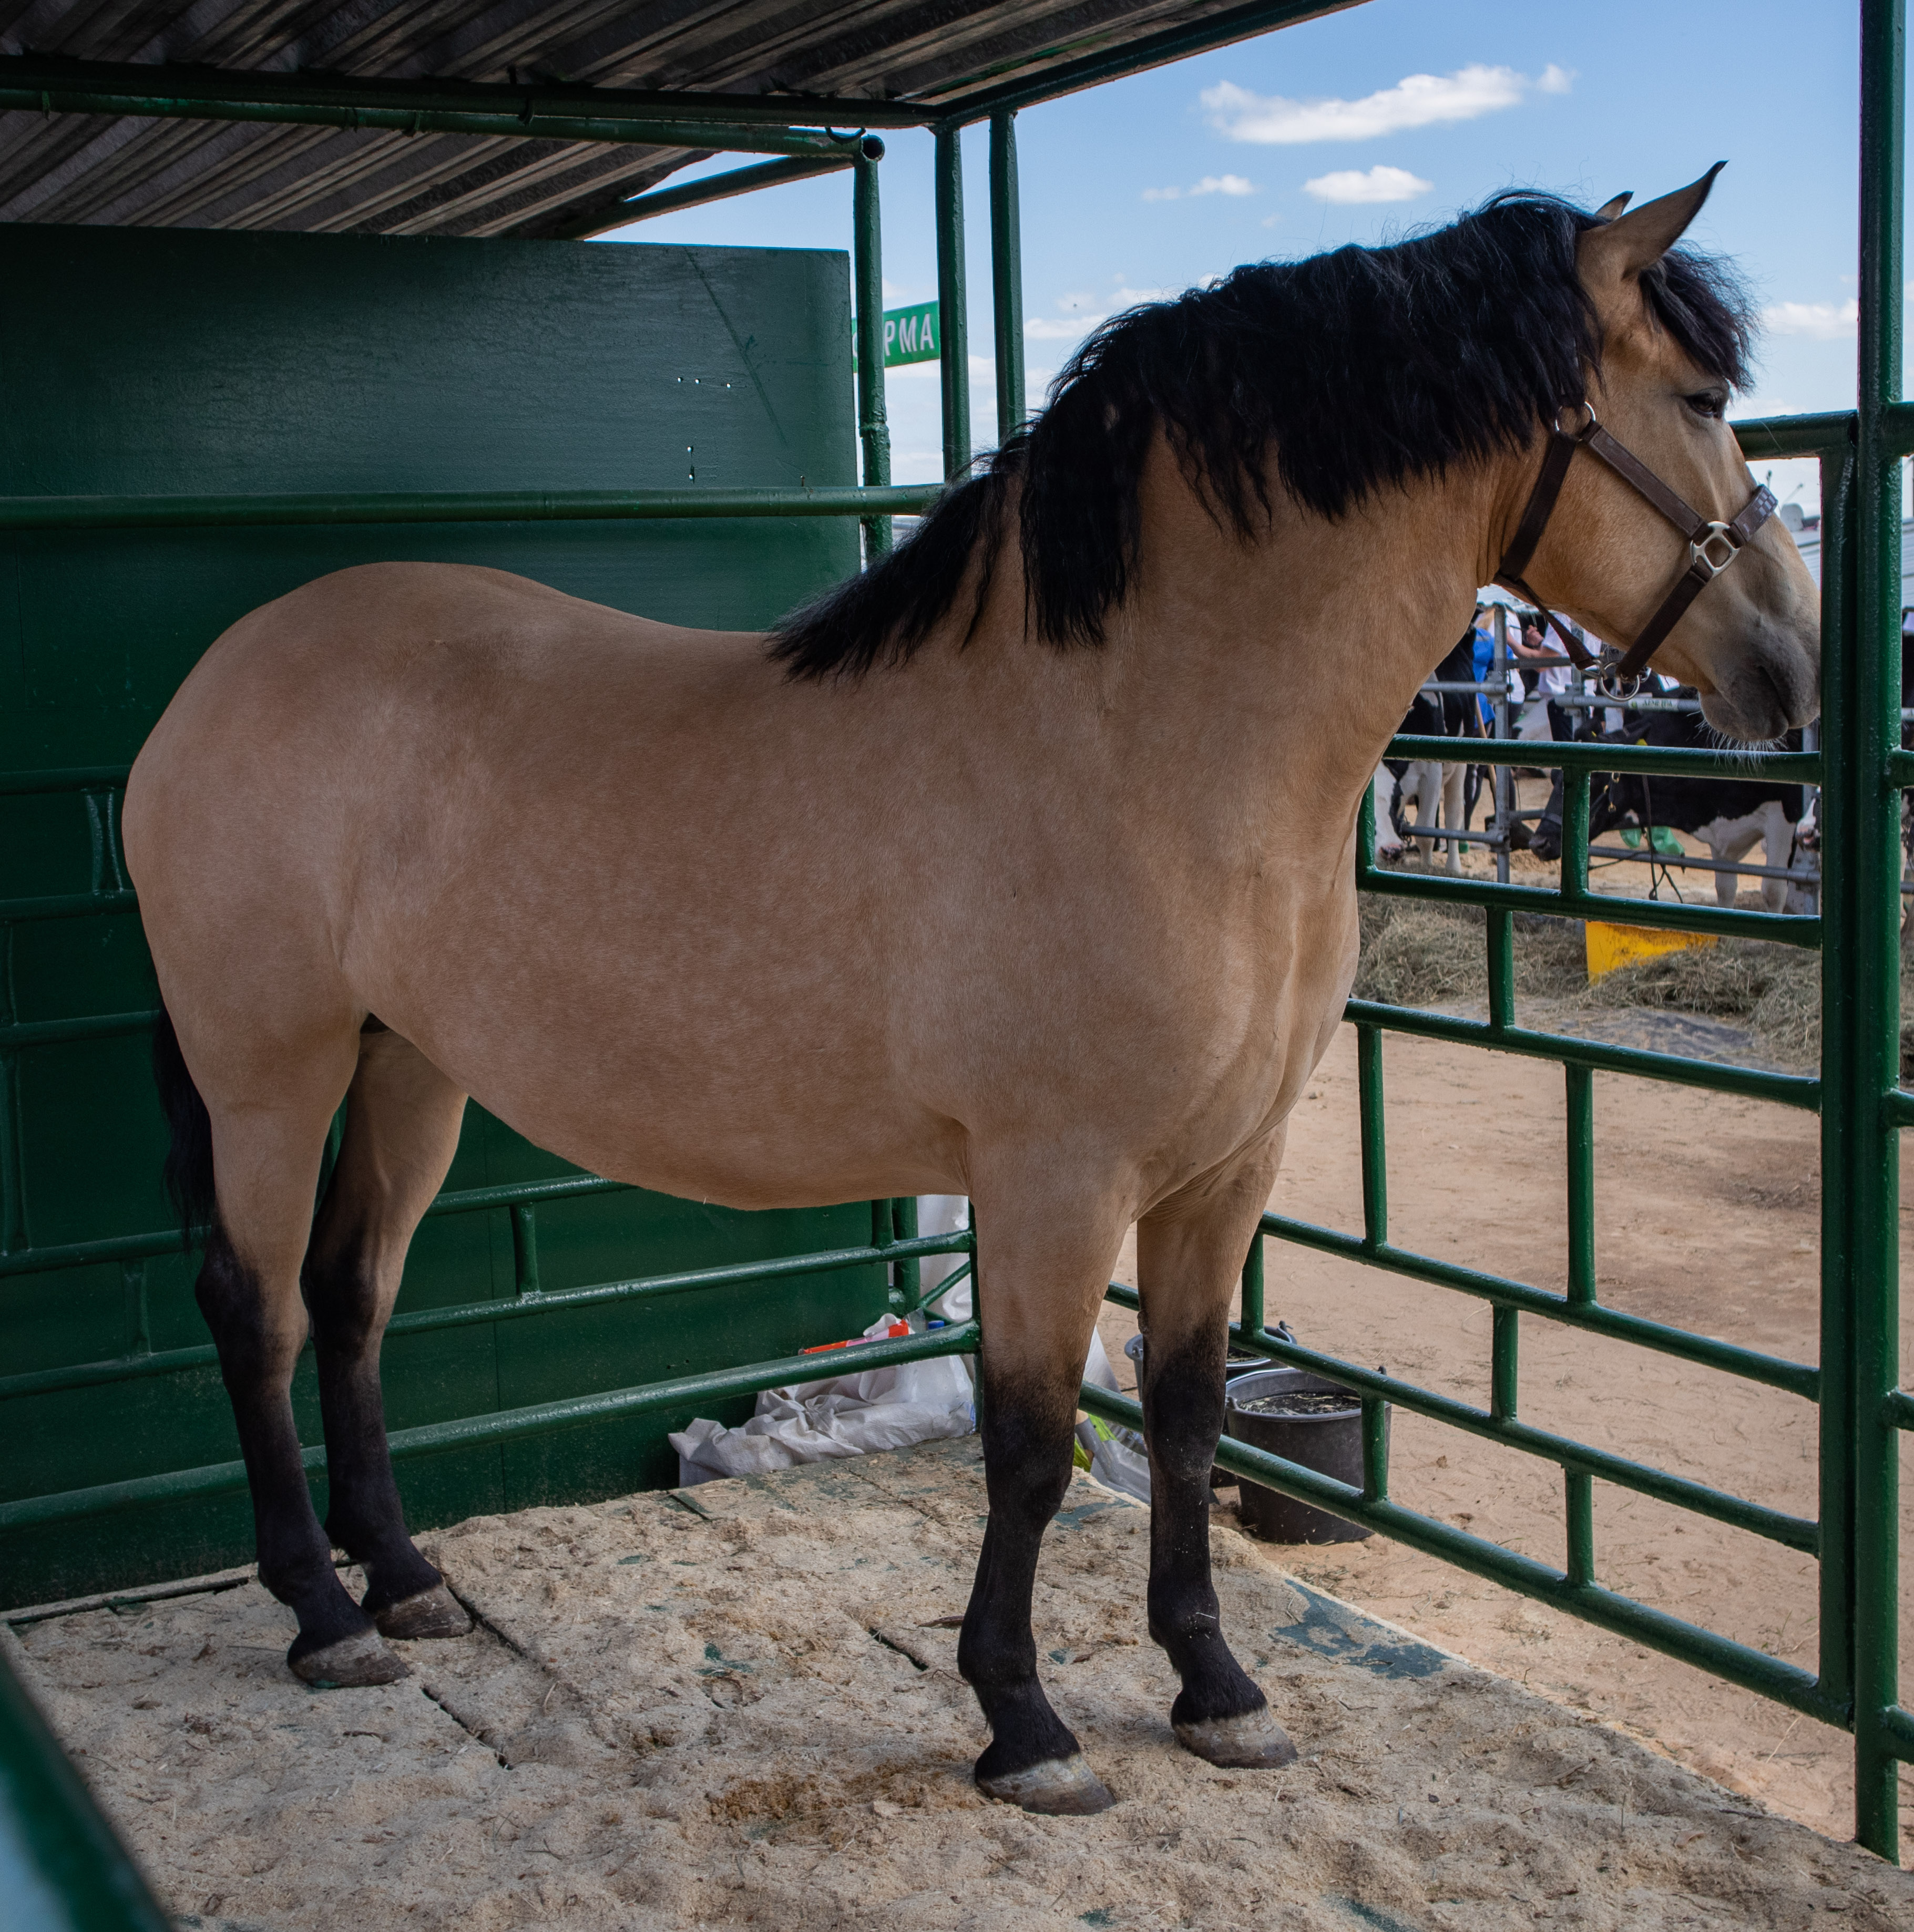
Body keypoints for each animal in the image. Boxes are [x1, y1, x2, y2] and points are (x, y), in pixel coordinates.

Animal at [127, 166, 1817, 1808]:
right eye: (1698, 396)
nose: (1796, 666)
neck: (1146, 755)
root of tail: (215, 678)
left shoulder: (1225, 1171)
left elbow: (1187, 1419)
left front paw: (1218, 1689)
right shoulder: (1056, 1176)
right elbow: (1031, 1444)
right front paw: (1025, 1721)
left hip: (406, 1062)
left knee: (353, 1295)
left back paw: (406, 1579)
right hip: (268, 1072)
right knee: (260, 1306)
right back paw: (324, 1615)